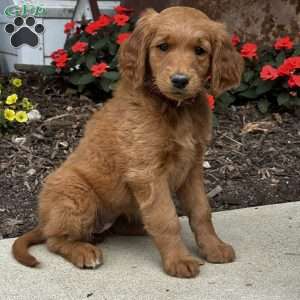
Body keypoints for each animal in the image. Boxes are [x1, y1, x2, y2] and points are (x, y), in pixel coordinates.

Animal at [12, 7, 244, 278]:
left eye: (200, 50)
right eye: (163, 47)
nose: (179, 80)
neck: (175, 109)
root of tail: (45, 220)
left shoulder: (192, 168)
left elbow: (201, 211)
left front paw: (214, 247)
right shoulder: (147, 172)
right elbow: (166, 218)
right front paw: (178, 260)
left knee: (117, 227)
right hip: (77, 193)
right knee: (54, 239)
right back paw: (83, 251)